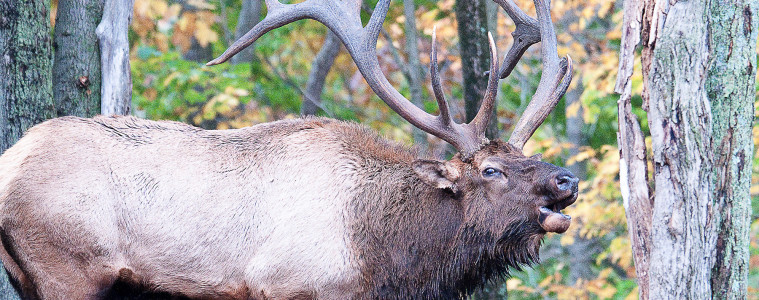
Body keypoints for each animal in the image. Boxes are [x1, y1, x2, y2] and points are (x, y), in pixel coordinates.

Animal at [0, 0, 572, 298]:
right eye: (491, 169)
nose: (567, 178)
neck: (384, 260)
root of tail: (11, 160)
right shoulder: (285, 286)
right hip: (68, 267)